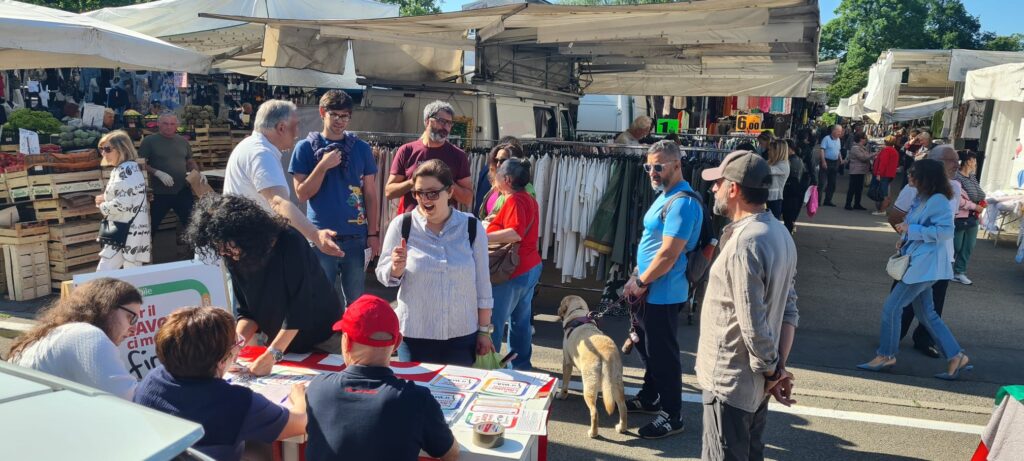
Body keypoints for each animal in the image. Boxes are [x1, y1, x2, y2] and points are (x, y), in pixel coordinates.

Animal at [557, 295, 626, 436]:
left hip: (589, 385)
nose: (557, 310)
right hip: (616, 382)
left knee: (594, 412)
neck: (578, 312)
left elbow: (565, 384)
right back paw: (621, 427)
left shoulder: (566, 362)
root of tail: (606, 354)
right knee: (623, 406)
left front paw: (562, 395)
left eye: (561, 303)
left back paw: (593, 433)